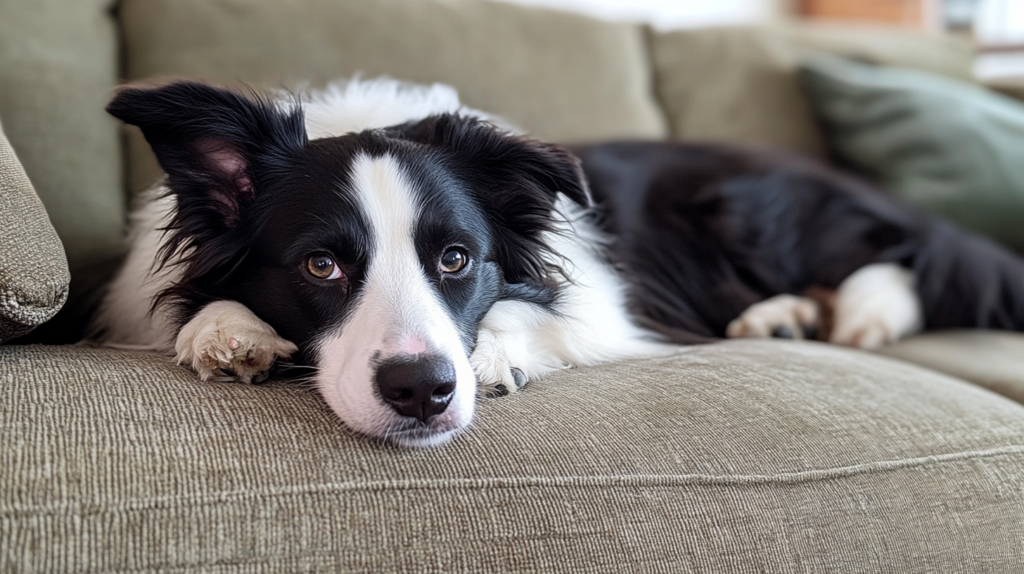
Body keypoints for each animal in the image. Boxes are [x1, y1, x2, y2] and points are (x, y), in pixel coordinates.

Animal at [94, 77, 1024, 444]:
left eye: (457, 258)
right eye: (321, 268)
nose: (424, 392)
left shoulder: (602, 305)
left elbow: (538, 312)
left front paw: (498, 352)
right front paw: (226, 332)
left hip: (748, 208)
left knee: (907, 254)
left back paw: (859, 313)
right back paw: (784, 317)